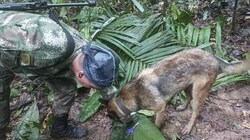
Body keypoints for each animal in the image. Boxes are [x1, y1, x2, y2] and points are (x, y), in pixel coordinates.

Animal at [107, 48, 250, 135]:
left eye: (116, 120)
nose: (126, 126)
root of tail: (215, 58)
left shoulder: (160, 108)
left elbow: (157, 124)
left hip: (198, 92)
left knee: (195, 112)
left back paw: (188, 127)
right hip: (186, 85)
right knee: (188, 97)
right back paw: (182, 107)